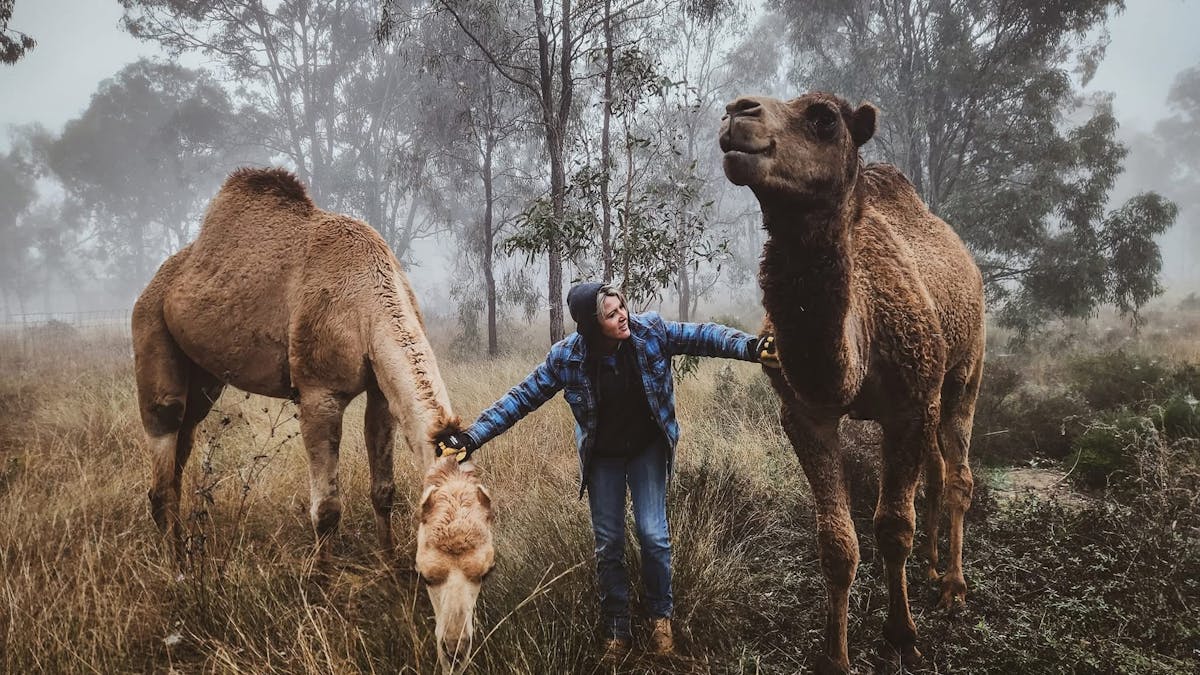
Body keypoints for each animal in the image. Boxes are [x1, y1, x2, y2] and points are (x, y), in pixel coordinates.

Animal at [131, 167, 494, 667]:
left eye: (486, 570)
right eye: (429, 572)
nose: (455, 649)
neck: (367, 293)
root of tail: (158, 282)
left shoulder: (380, 389)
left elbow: (384, 489)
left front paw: (387, 568)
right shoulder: (318, 393)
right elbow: (327, 507)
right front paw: (323, 588)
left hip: (204, 375)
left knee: (183, 444)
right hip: (151, 331)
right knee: (164, 434)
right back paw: (179, 568)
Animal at [720, 93, 985, 673]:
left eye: (824, 118)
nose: (737, 112)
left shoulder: (910, 405)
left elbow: (893, 527)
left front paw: (902, 635)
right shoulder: (803, 413)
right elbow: (836, 543)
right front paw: (835, 657)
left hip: (966, 367)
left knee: (958, 472)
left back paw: (953, 586)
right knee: (936, 471)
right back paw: (933, 565)